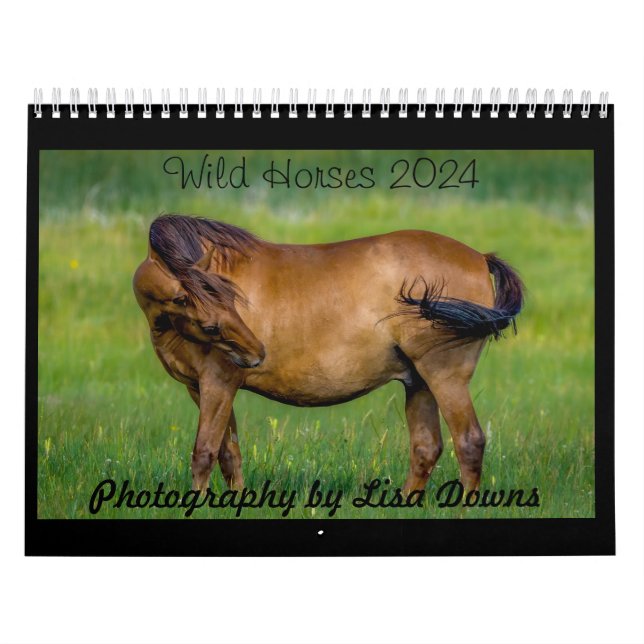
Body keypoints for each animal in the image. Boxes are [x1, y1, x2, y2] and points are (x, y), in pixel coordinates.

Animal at [133, 214, 524, 495]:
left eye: (229, 296)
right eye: (189, 300)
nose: (256, 353)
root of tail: (480, 258)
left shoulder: (218, 383)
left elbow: (204, 453)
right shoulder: (202, 388)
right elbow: (229, 455)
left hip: (445, 377)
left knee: (469, 442)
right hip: (419, 382)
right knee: (426, 448)